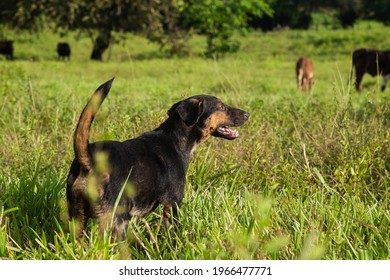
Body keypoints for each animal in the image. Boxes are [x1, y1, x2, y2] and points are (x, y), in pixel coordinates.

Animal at [67, 79, 250, 238]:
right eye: (221, 106)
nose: (247, 114)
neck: (176, 137)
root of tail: (90, 161)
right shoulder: (173, 203)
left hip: (77, 218)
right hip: (116, 221)